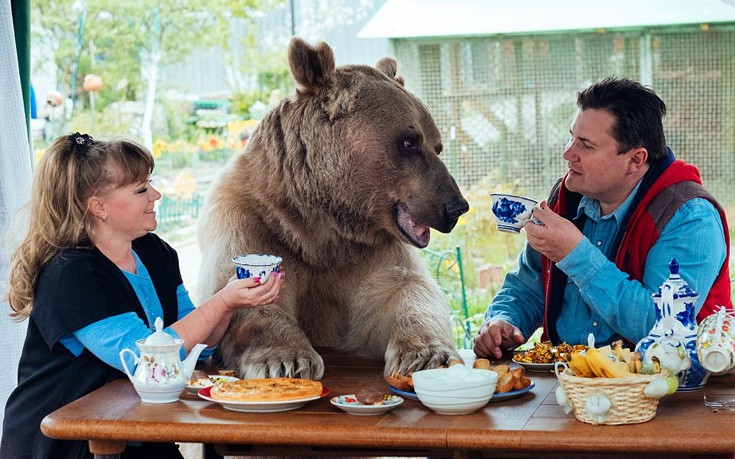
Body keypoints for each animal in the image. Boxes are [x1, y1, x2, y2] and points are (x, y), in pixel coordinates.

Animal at [198, 36, 468, 380]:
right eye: (409, 142)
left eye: (437, 146)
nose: (456, 206)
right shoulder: (251, 221)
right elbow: (245, 295)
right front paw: (287, 360)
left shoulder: (369, 252)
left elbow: (405, 291)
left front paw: (428, 355)